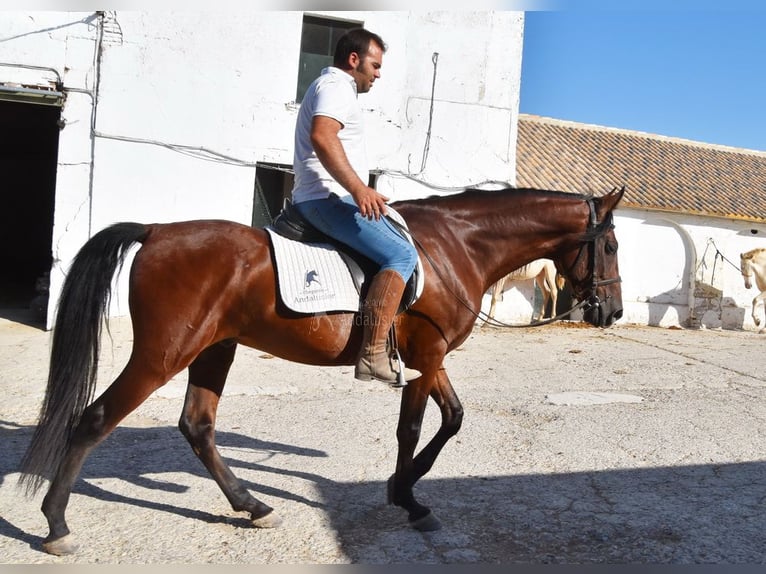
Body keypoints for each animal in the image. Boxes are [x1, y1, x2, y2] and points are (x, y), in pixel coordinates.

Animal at [18, 187, 628, 556]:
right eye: (612, 245)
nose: (612, 313)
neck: (454, 247)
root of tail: (157, 230)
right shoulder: (427, 358)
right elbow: (413, 429)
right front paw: (408, 498)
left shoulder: (430, 360)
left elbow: (453, 418)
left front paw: (402, 488)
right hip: (164, 354)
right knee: (95, 419)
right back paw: (56, 526)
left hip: (214, 350)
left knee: (198, 427)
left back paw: (253, 506)